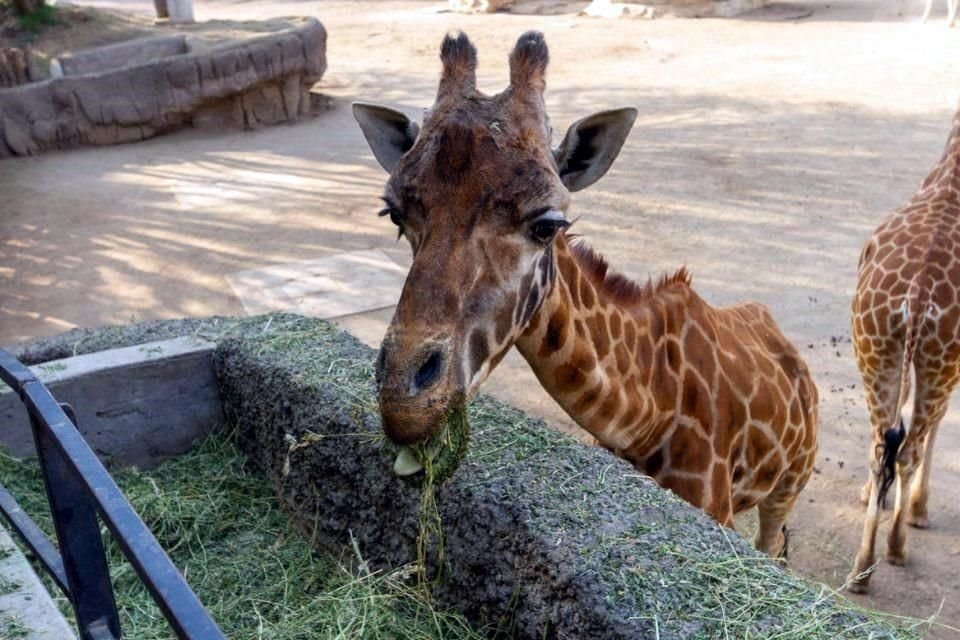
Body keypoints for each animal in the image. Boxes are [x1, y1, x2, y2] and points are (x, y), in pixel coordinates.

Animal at [352, 30, 816, 556]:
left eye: (547, 224)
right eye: (394, 214)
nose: (404, 403)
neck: (649, 416)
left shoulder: (717, 506)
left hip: (788, 485)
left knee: (774, 544)